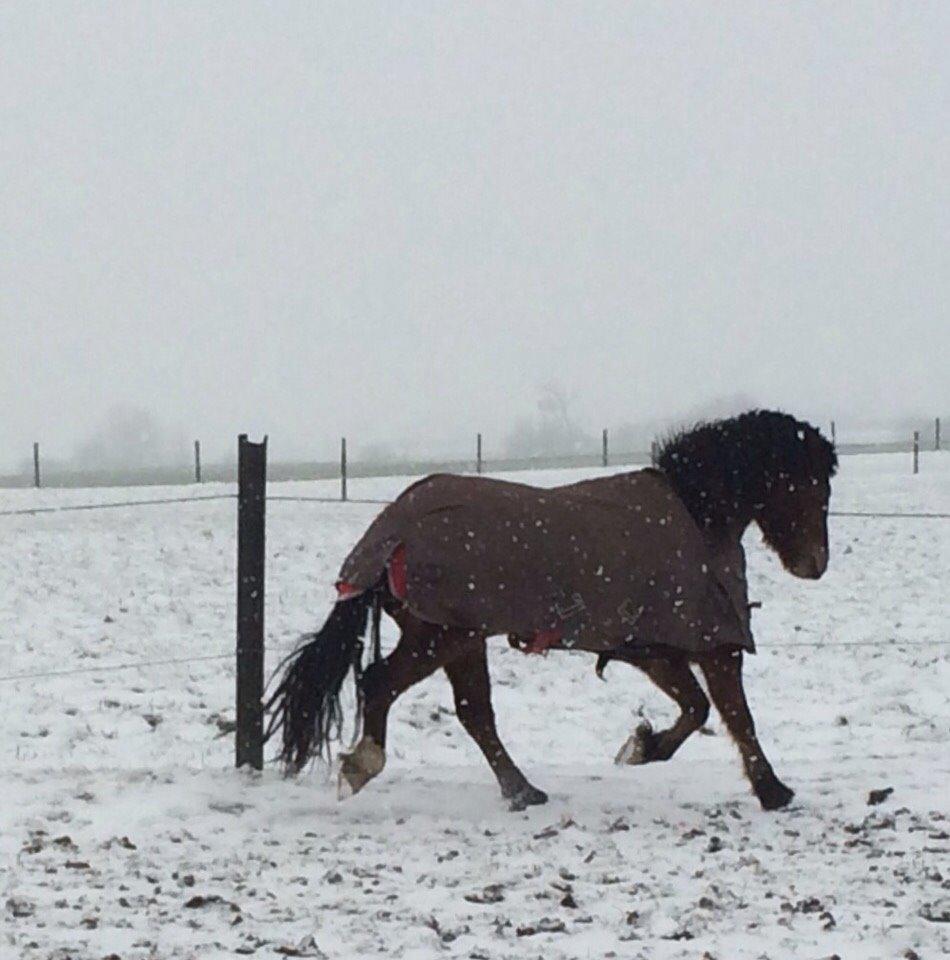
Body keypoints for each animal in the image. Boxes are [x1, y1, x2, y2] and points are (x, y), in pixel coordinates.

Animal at [264, 408, 836, 812]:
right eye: (808, 485)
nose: (815, 564)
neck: (697, 513)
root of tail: (389, 535)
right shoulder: (710, 645)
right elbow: (736, 716)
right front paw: (773, 791)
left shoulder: (651, 650)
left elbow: (696, 709)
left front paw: (641, 746)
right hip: (442, 636)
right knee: (381, 683)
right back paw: (363, 765)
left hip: (461, 638)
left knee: (473, 713)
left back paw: (522, 791)